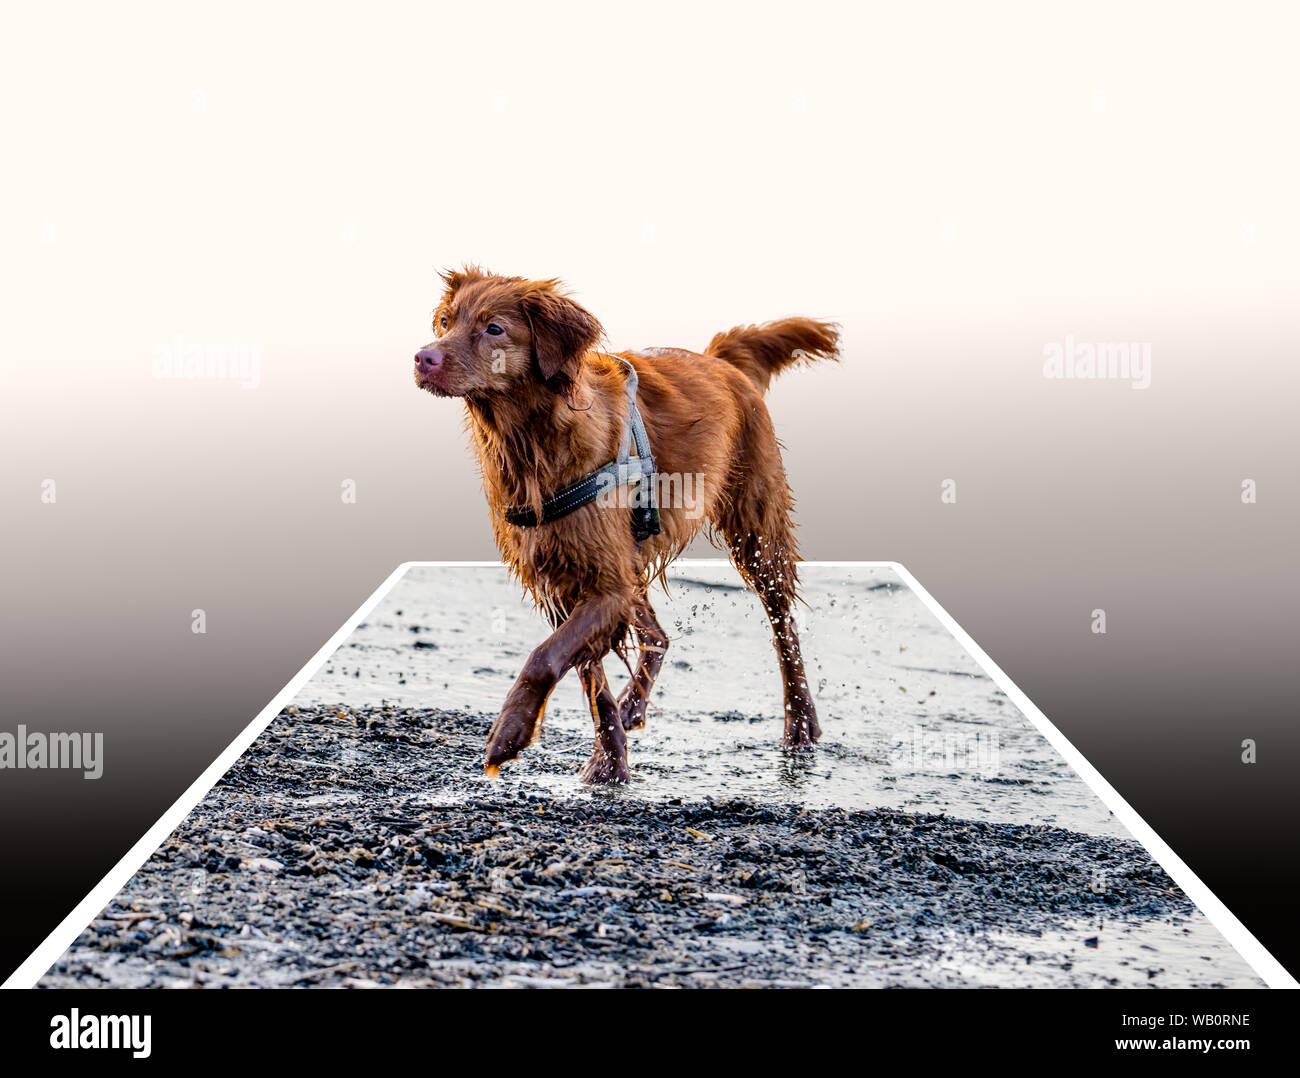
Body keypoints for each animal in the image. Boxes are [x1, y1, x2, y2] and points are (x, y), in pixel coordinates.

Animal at [416, 265, 842, 780]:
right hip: (634, 556)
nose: (423, 358)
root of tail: (720, 360)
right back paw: (632, 708)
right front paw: (609, 764)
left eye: (494, 328)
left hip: (756, 529)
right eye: (445, 321)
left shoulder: (605, 583)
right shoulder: (567, 578)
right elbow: (590, 679)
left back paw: (801, 724)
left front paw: (510, 732)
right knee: (657, 636)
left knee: (784, 626)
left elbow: (544, 656)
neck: (533, 441)